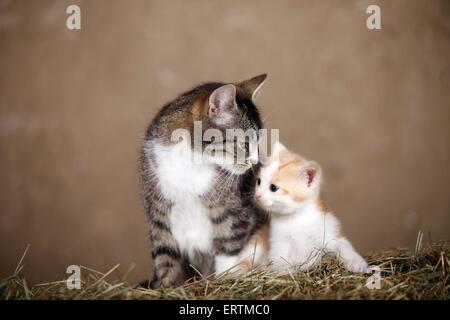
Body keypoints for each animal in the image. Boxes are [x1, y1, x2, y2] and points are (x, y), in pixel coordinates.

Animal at [139, 74, 268, 288]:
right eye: (245, 144)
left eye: (258, 143)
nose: (255, 162)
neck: (191, 162)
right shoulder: (158, 213)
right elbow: (165, 255)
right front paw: (164, 287)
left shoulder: (235, 212)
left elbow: (228, 247)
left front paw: (224, 281)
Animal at [255, 143, 368, 276]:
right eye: (259, 181)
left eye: (273, 188)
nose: (257, 194)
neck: (297, 218)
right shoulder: (279, 243)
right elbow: (279, 259)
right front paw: (286, 271)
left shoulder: (330, 232)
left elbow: (343, 245)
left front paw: (357, 263)